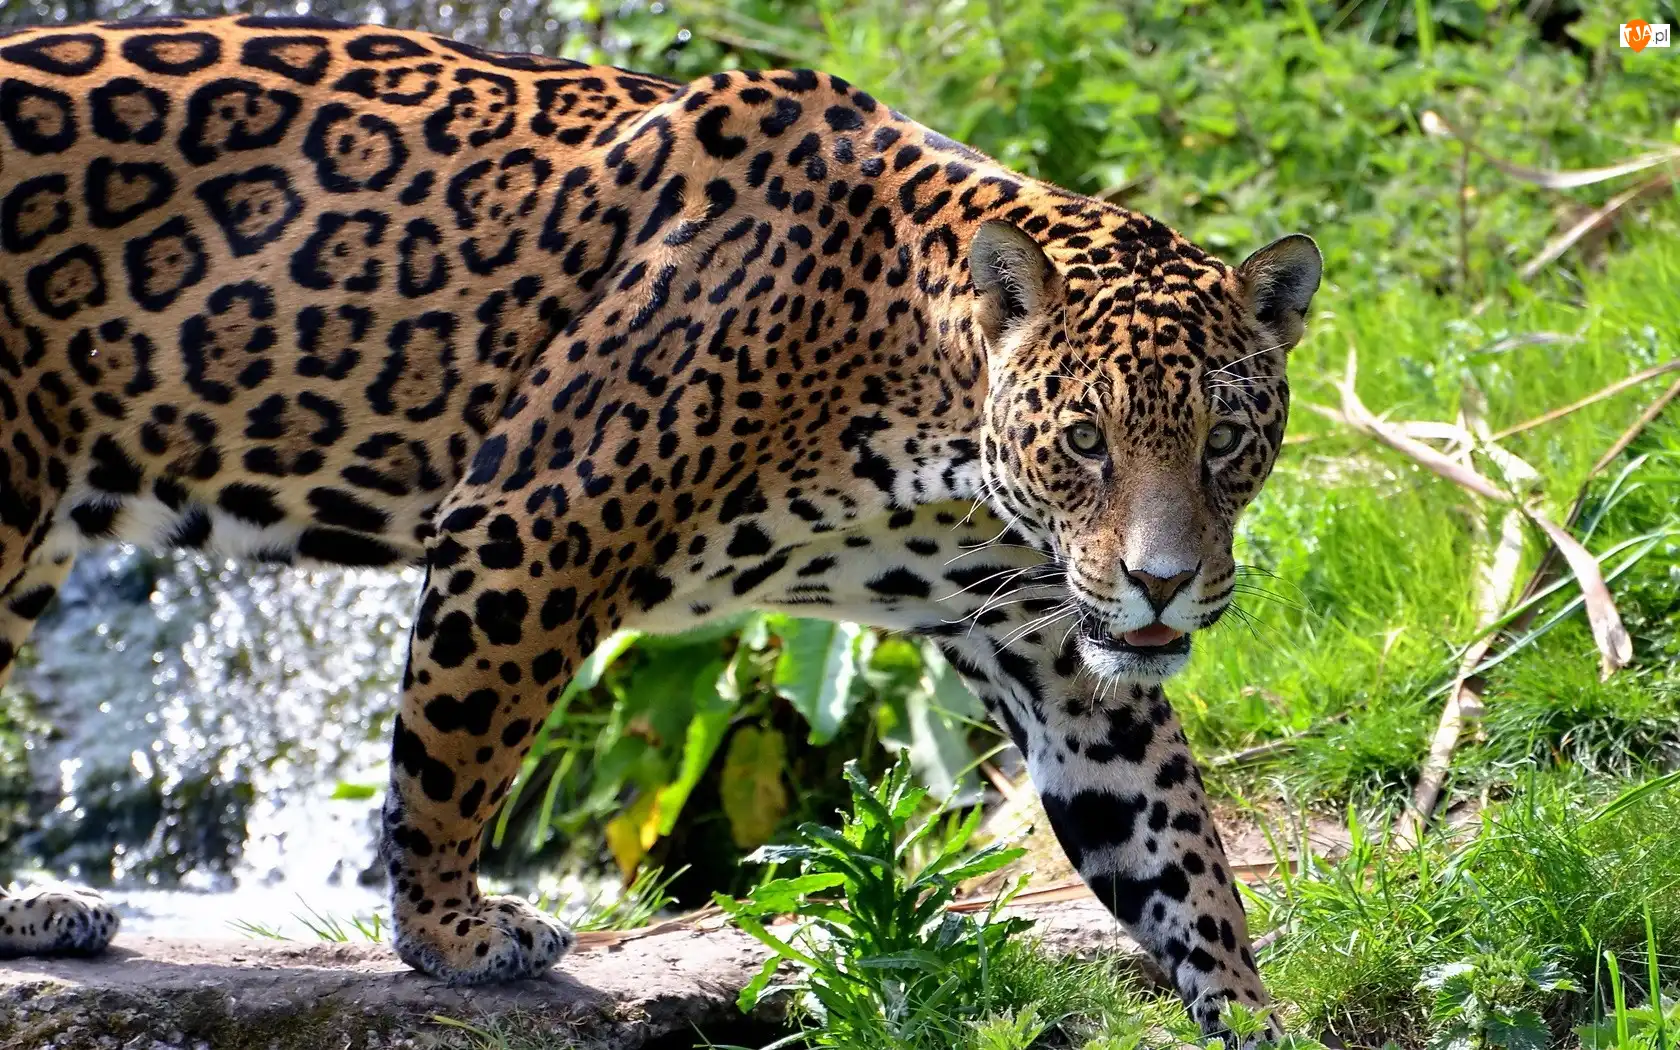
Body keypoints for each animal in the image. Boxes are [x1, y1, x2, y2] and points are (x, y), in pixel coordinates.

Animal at [0, 14, 1322, 1040]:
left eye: (1224, 440)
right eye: (1086, 441)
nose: (1163, 585)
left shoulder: (1056, 645)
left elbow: (1173, 845)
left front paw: (1250, 1012)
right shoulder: (532, 521)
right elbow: (450, 759)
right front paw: (451, 933)